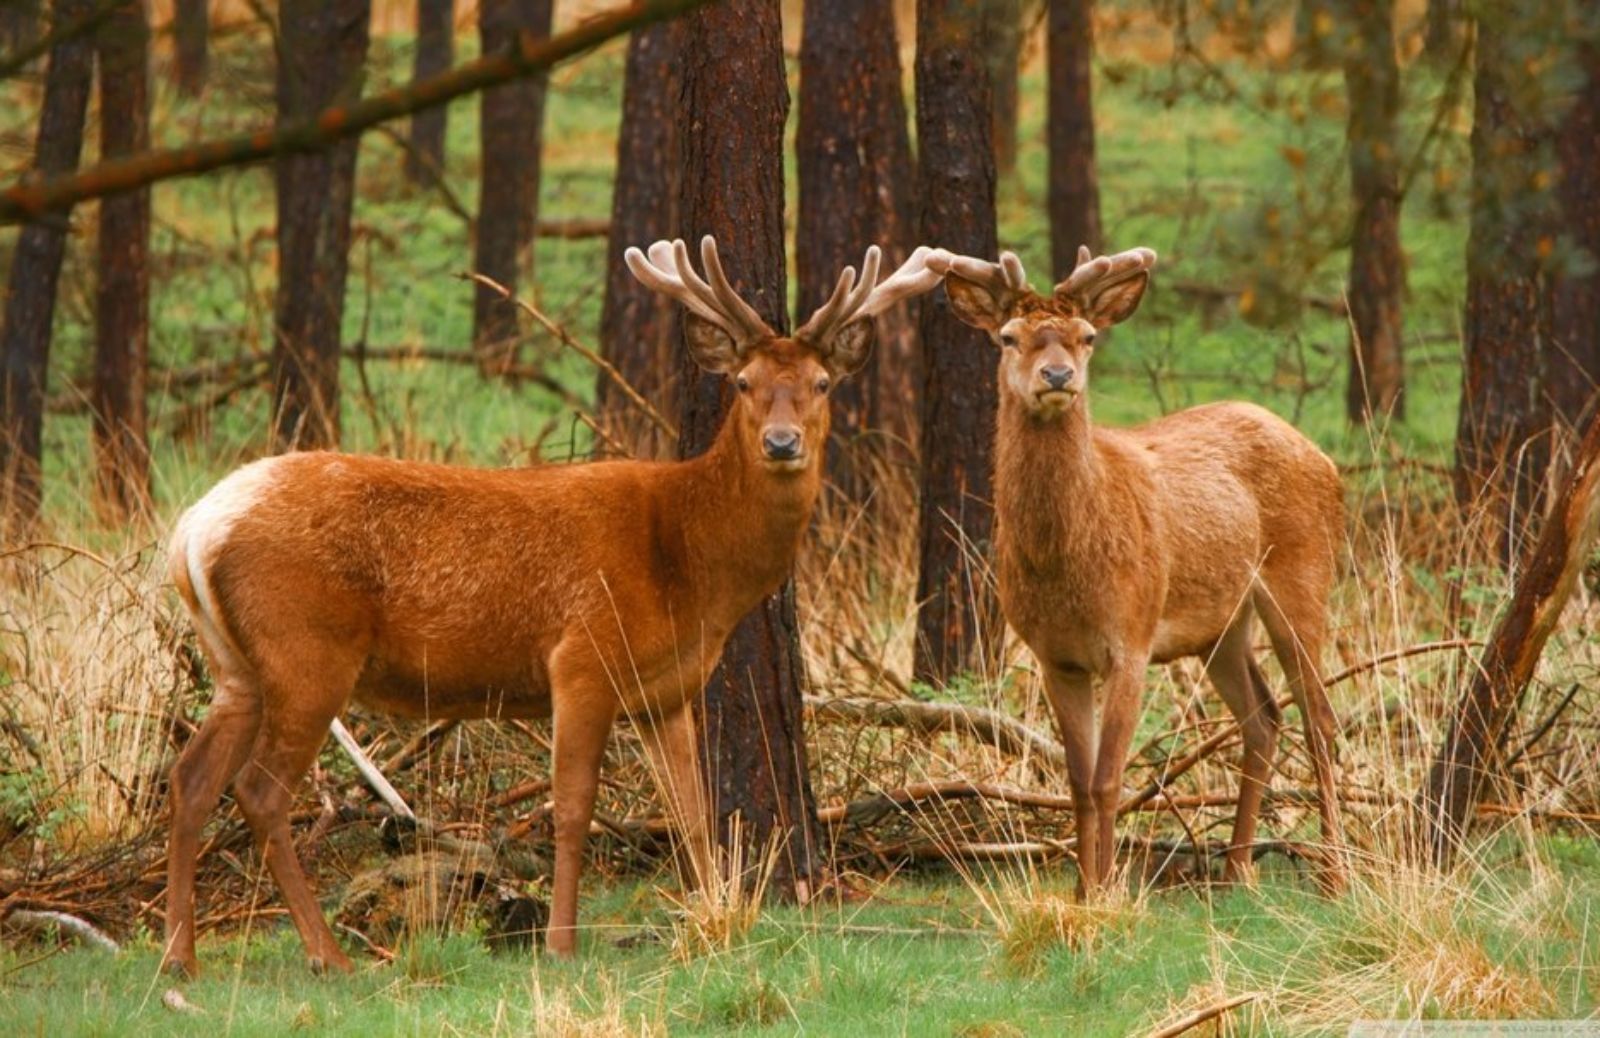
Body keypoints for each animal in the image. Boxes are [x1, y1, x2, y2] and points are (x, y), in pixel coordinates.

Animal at [159, 235, 947, 972]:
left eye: (821, 382)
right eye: (745, 382)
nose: (782, 442)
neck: (687, 565)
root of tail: (193, 527)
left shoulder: (665, 692)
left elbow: (692, 813)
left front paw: (716, 921)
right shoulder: (582, 658)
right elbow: (572, 809)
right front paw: (563, 944)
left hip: (237, 666)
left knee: (191, 779)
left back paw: (180, 957)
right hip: (307, 650)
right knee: (259, 792)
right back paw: (328, 956)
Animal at [928, 246, 1350, 895]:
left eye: (1087, 336)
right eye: (1007, 337)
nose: (1057, 376)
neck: (1064, 565)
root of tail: (1325, 460)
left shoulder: (1131, 635)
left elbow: (1109, 778)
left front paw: (1107, 891)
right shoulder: (1055, 656)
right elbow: (1078, 782)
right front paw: (1083, 889)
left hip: (1303, 575)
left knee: (1320, 718)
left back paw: (1333, 875)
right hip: (1221, 624)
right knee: (1263, 716)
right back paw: (1235, 870)